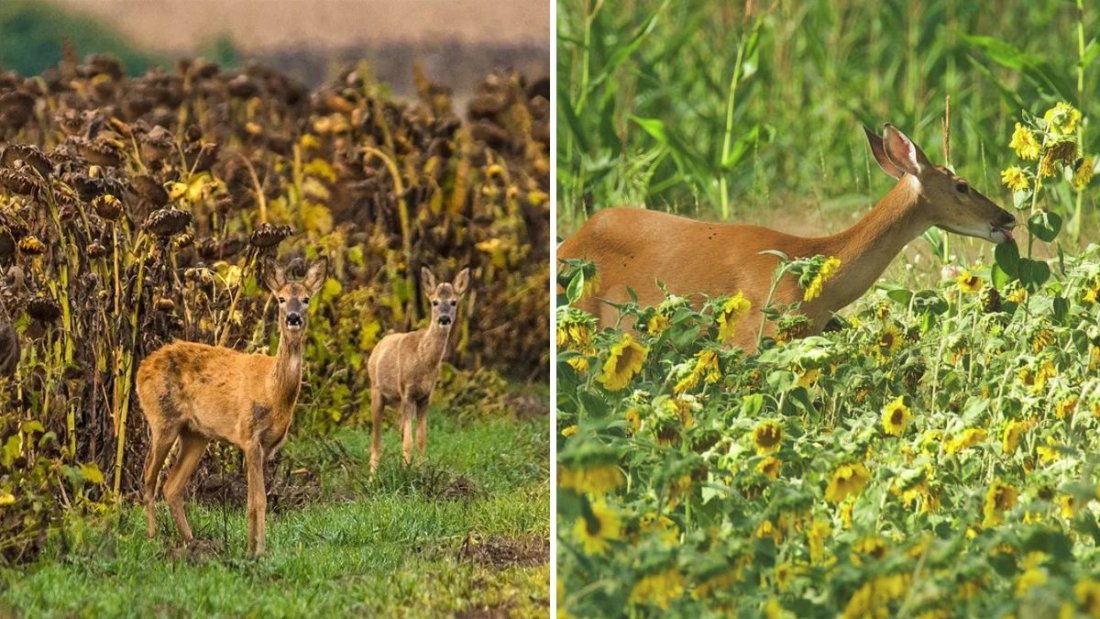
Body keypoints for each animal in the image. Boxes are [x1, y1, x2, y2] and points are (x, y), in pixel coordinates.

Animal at [136, 257, 328, 557]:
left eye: (306, 299)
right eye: (281, 299)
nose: (293, 318)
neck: (273, 392)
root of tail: (140, 370)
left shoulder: (268, 446)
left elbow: (256, 499)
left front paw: (254, 548)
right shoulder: (249, 435)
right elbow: (257, 500)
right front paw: (257, 552)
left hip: (195, 434)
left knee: (172, 486)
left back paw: (194, 543)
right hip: (162, 419)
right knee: (148, 478)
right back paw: (154, 538)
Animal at [368, 266, 470, 476]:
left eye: (454, 302)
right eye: (434, 302)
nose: (444, 318)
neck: (423, 360)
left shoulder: (425, 396)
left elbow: (421, 438)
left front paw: (420, 471)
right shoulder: (407, 393)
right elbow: (409, 441)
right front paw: (407, 474)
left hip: (397, 401)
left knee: (398, 432)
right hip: (377, 391)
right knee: (376, 440)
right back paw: (372, 476)